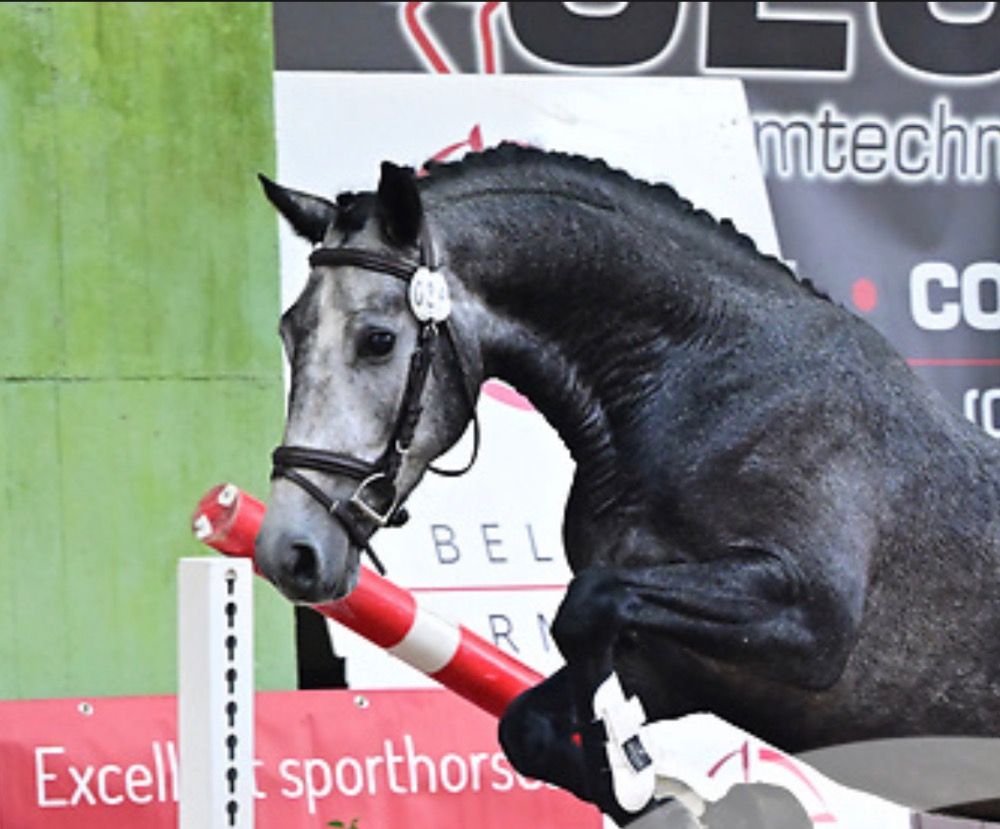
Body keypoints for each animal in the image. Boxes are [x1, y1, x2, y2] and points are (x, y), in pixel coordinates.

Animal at [253, 144, 1000, 820]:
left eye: (378, 339)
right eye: (290, 331)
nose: (290, 551)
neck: (693, 382)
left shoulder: (809, 626)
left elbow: (588, 606)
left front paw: (655, 777)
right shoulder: (675, 661)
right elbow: (532, 723)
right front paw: (670, 791)